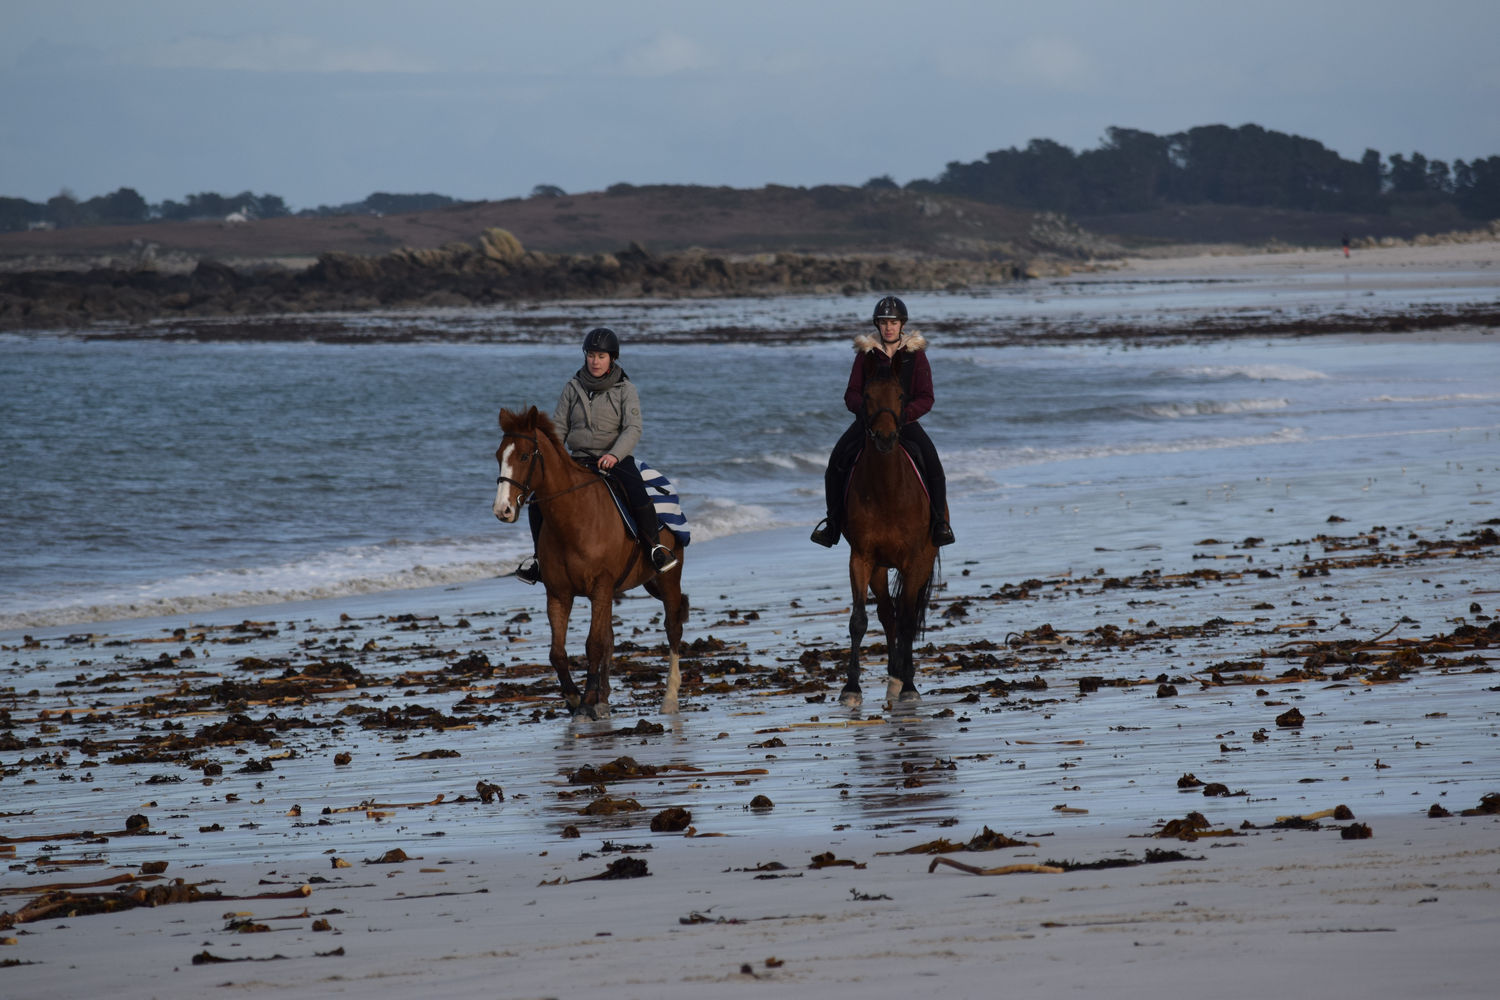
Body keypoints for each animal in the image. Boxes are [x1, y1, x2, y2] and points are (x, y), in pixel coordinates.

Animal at [489, 407, 687, 719]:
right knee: (610, 637)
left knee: (673, 628)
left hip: (668, 578)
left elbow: (593, 644)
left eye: (523, 456)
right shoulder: (559, 594)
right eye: (499, 455)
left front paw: (586, 701)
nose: (502, 510)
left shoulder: (600, 587)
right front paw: (574, 697)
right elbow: (559, 651)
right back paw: (603, 698)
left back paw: (669, 698)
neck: (575, 519)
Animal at [846, 353, 936, 710]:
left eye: (900, 395)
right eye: (867, 396)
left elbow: (910, 621)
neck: (887, 491)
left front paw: (910, 684)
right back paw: (894, 673)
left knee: (904, 615)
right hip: (879, 568)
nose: (885, 438)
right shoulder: (861, 558)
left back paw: (902, 677)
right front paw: (851, 688)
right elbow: (859, 620)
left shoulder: (915, 561)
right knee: (887, 613)